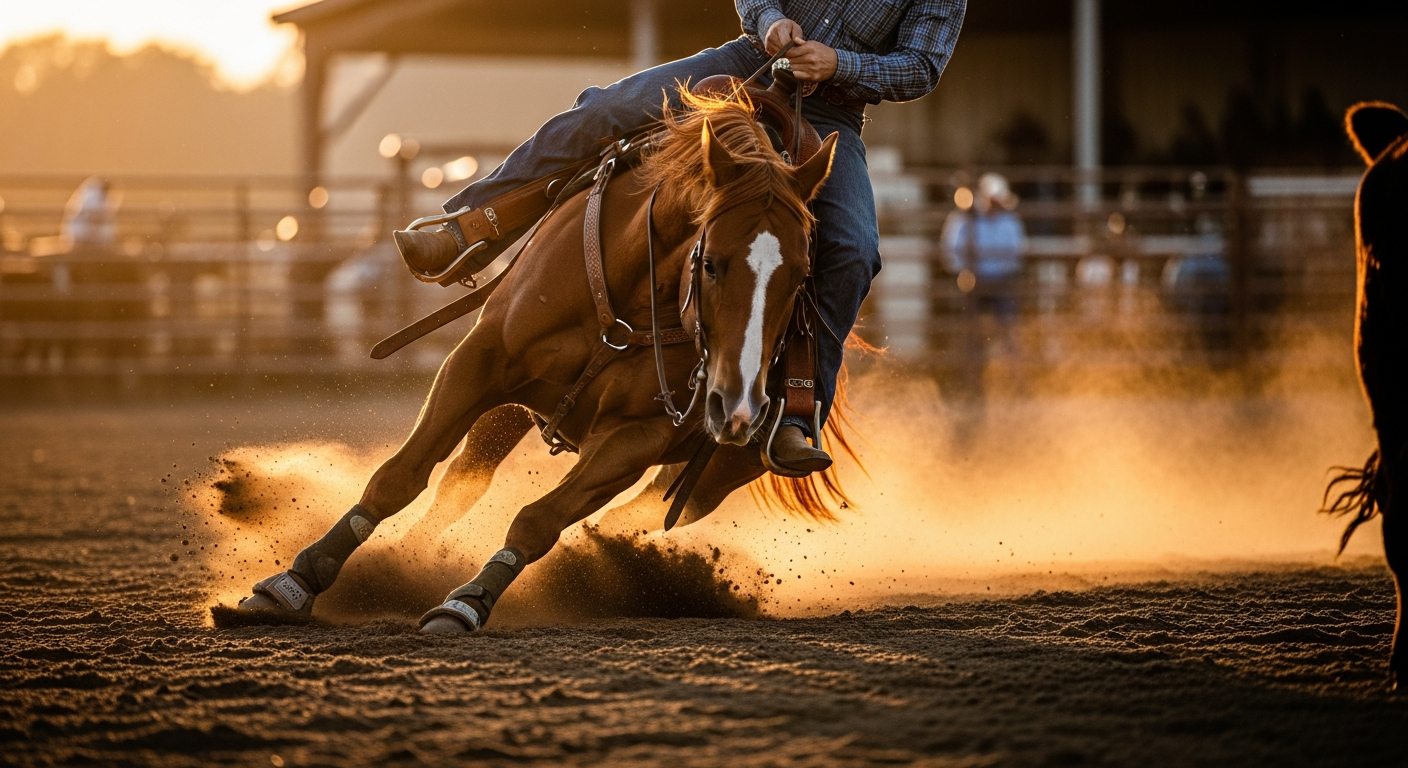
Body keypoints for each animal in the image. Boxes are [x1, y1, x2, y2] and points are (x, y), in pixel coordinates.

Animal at [230, 87, 857, 631]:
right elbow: (398, 477)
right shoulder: (480, 362)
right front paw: (294, 583)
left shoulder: (637, 436)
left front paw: (466, 602)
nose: (740, 406)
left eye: (802, 275)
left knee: (629, 518)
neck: (636, 293)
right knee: (463, 480)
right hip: (514, 406)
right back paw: (398, 567)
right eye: (711, 262)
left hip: (717, 474)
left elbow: (539, 520)